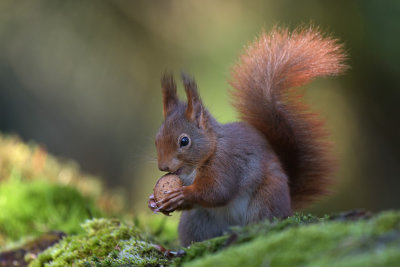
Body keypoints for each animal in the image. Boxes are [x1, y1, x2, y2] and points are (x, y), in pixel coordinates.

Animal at [147, 26, 346, 247]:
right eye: (156, 139)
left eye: (184, 141)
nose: (163, 167)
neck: (210, 151)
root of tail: (288, 204)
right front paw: (153, 201)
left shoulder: (226, 163)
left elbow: (217, 191)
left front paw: (181, 194)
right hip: (194, 221)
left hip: (266, 198)